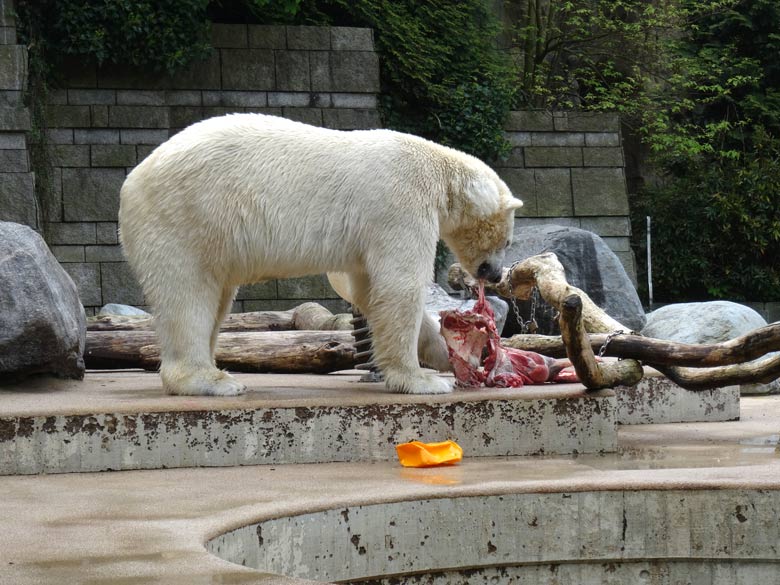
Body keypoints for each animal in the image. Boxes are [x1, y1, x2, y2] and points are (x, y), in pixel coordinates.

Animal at [119, 113, 524, 396]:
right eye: (508, 240)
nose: (494, 274)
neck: (438, 169)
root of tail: (131, 181)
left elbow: (368, 291)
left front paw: (458, 357)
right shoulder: (400, 203)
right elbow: (400, 287)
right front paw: (423, 379)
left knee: (215, 299)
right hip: (185, 219)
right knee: (188, 297)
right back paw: (213, 380)